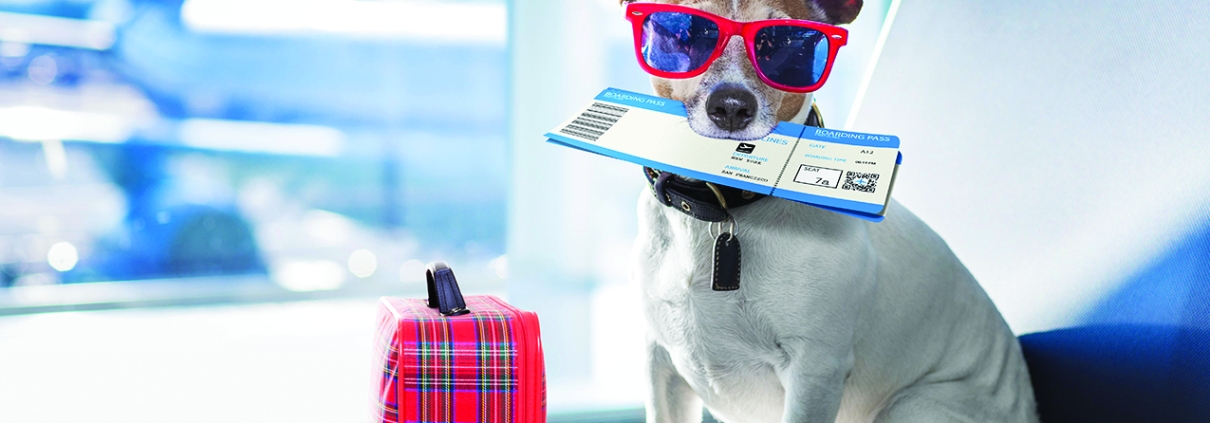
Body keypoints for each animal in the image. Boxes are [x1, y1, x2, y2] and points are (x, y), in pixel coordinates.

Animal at [624, 0, 1040, 423]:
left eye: (786, 42)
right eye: (685, 32)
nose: (731, 106)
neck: (718, 204)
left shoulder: (815, 370)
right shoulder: (660, 364)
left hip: (910, 405)